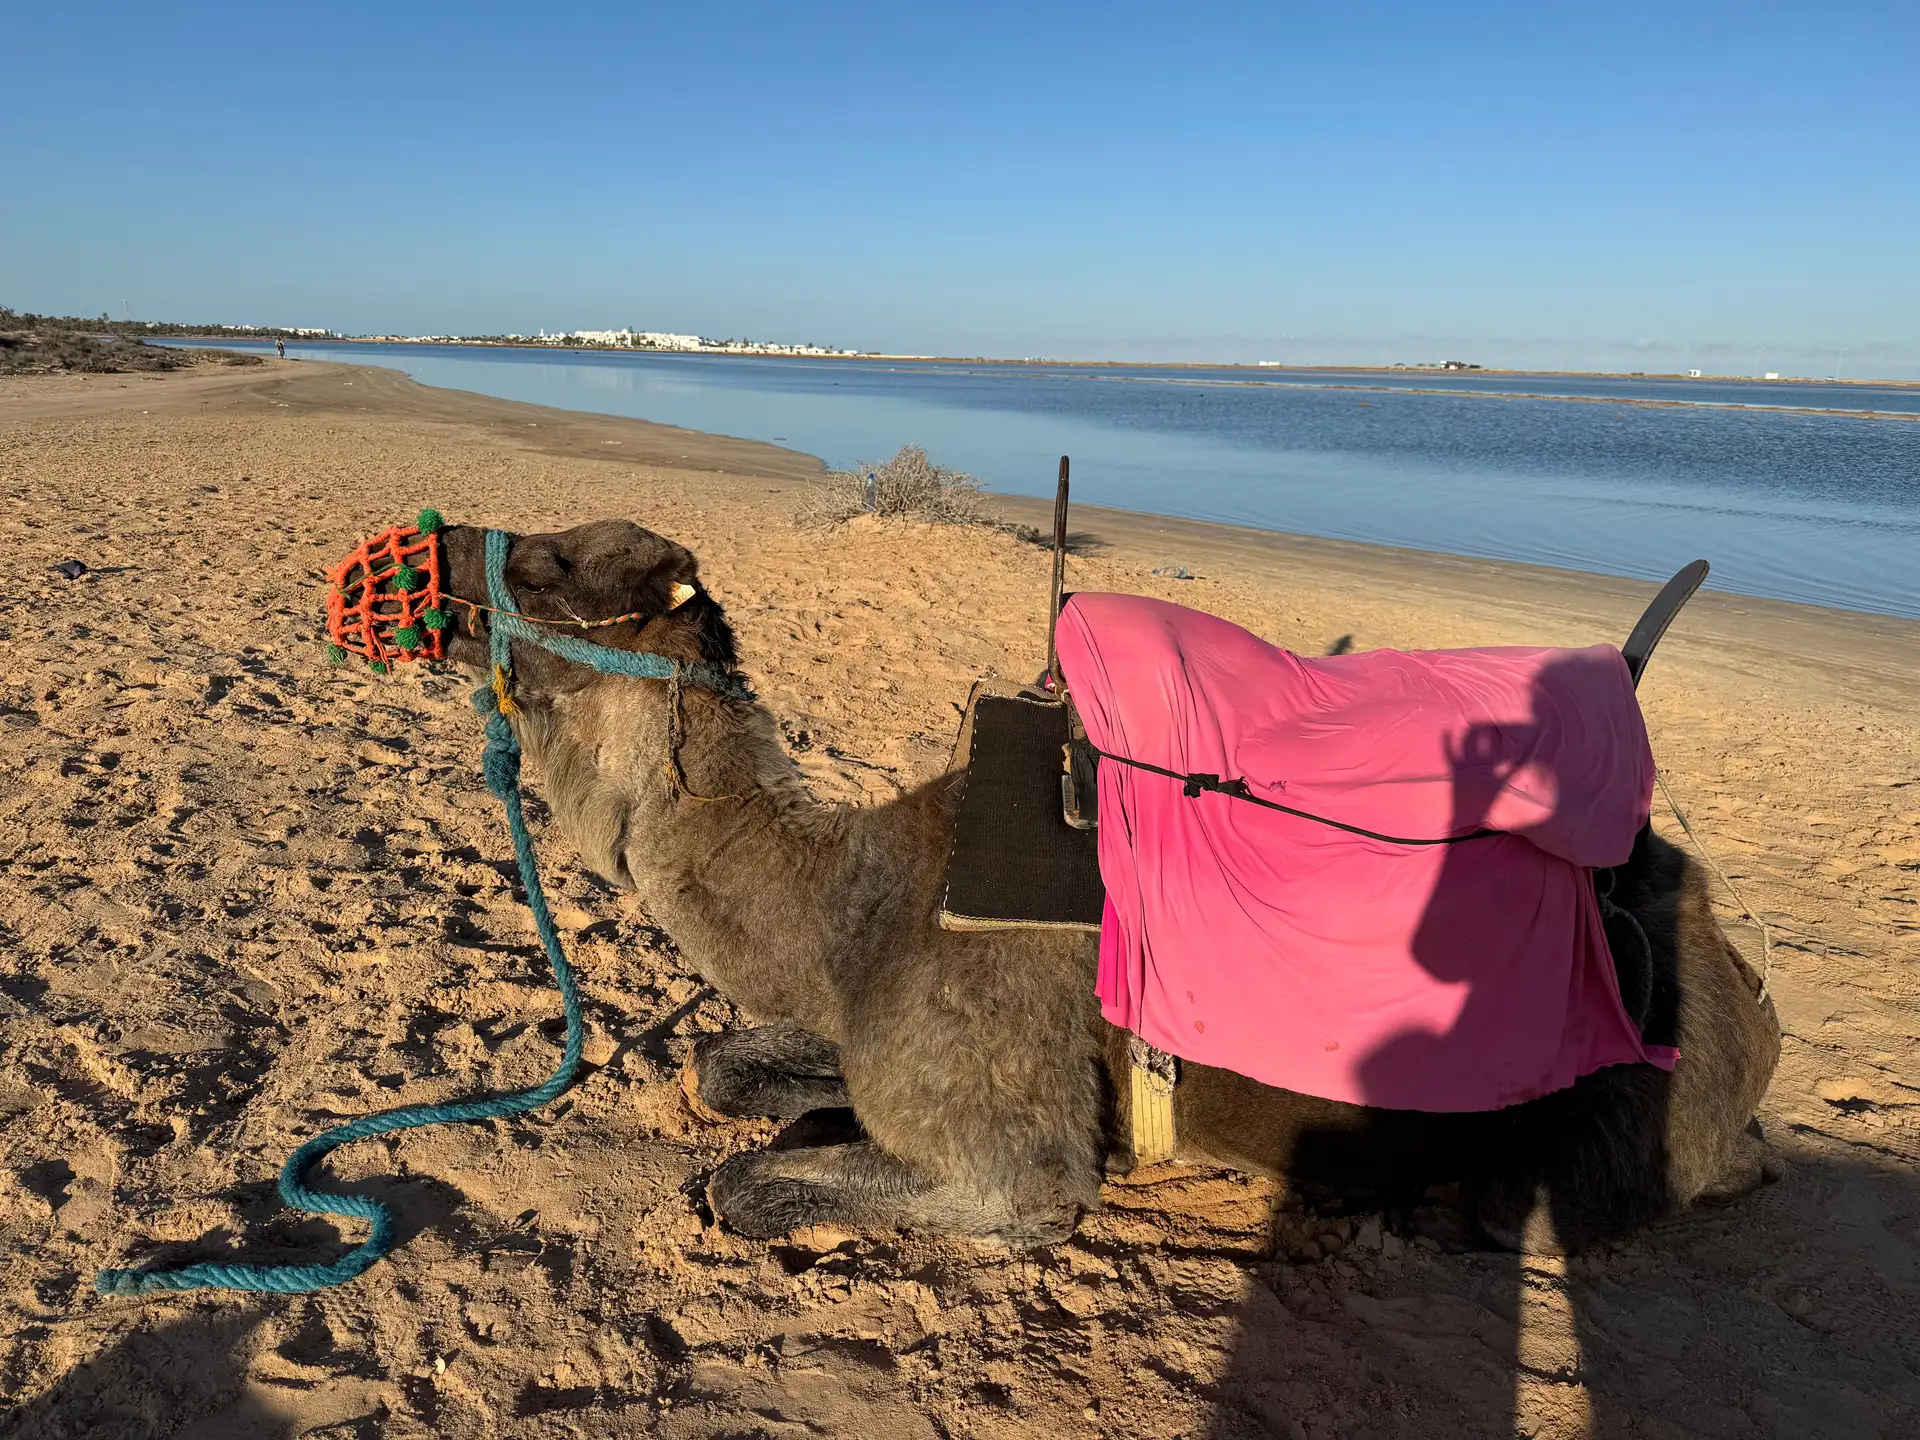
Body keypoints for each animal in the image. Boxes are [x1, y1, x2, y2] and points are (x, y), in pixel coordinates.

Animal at [434, 519, 1781, 1254]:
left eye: (550, 565)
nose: (433, 549)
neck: (849, 912)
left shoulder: (1004, 1151)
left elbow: (754, 1185)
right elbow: (725, 1073)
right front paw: (804, 1111)